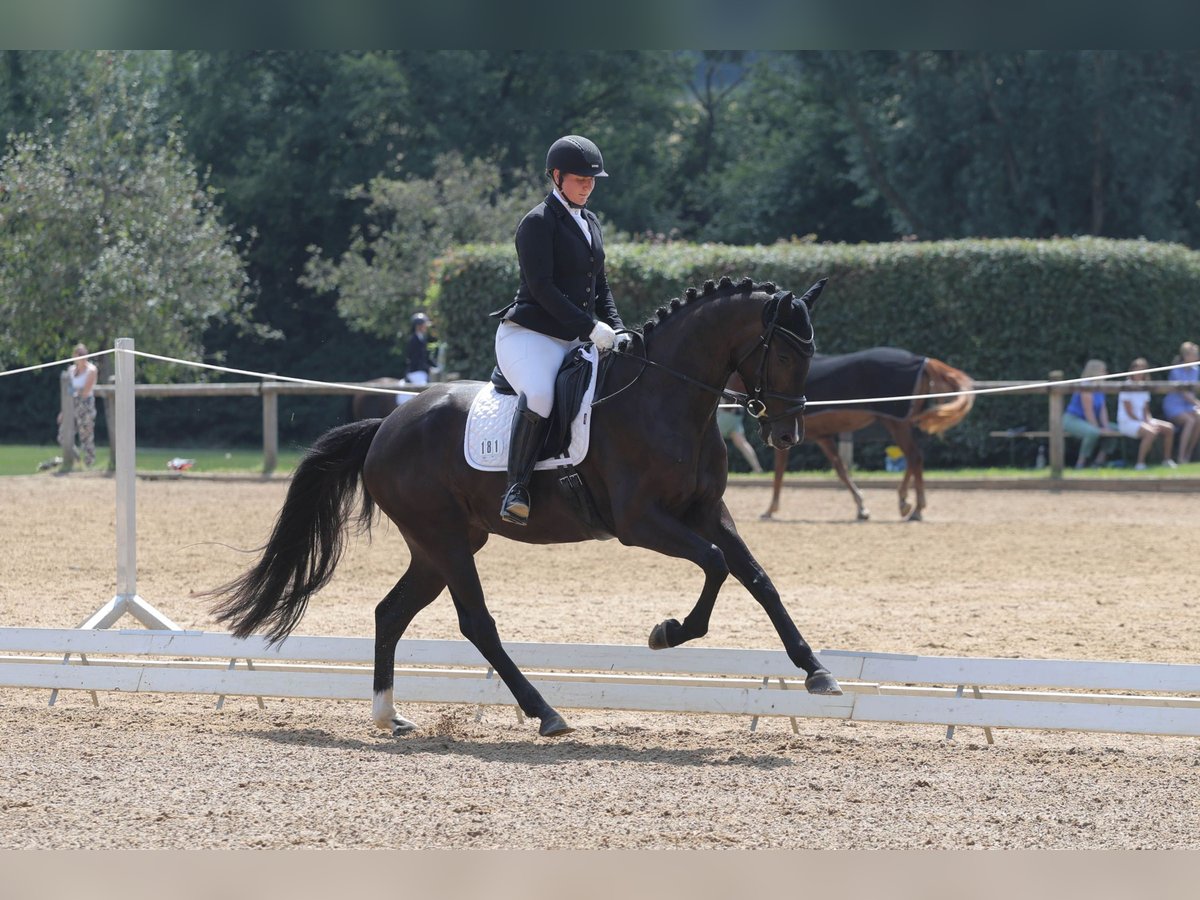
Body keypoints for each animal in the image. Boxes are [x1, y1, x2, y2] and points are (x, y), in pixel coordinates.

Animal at [208, 277, 844, 739]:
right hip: (443, 540)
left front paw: (817, 671)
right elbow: (714, 563)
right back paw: (546, 713)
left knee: (390, 613)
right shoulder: (641, 522)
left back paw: (390, 716)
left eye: (811, 351)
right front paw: (667, 632)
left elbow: (756, 577)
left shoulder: (706, 511)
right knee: (476, 623)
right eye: (785, 352)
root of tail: (387, 425)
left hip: (441, 545)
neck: (666, 397)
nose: (787, 435)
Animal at [763, 348, 969, 525]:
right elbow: (841, 470)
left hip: (895, 423)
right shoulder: (823, 437)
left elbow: (779, 471)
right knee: (914, 458)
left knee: (914, 457)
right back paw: (908, 504)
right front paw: (861, 508)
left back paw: (913, 508)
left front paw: (770, 509)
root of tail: (922, 360)